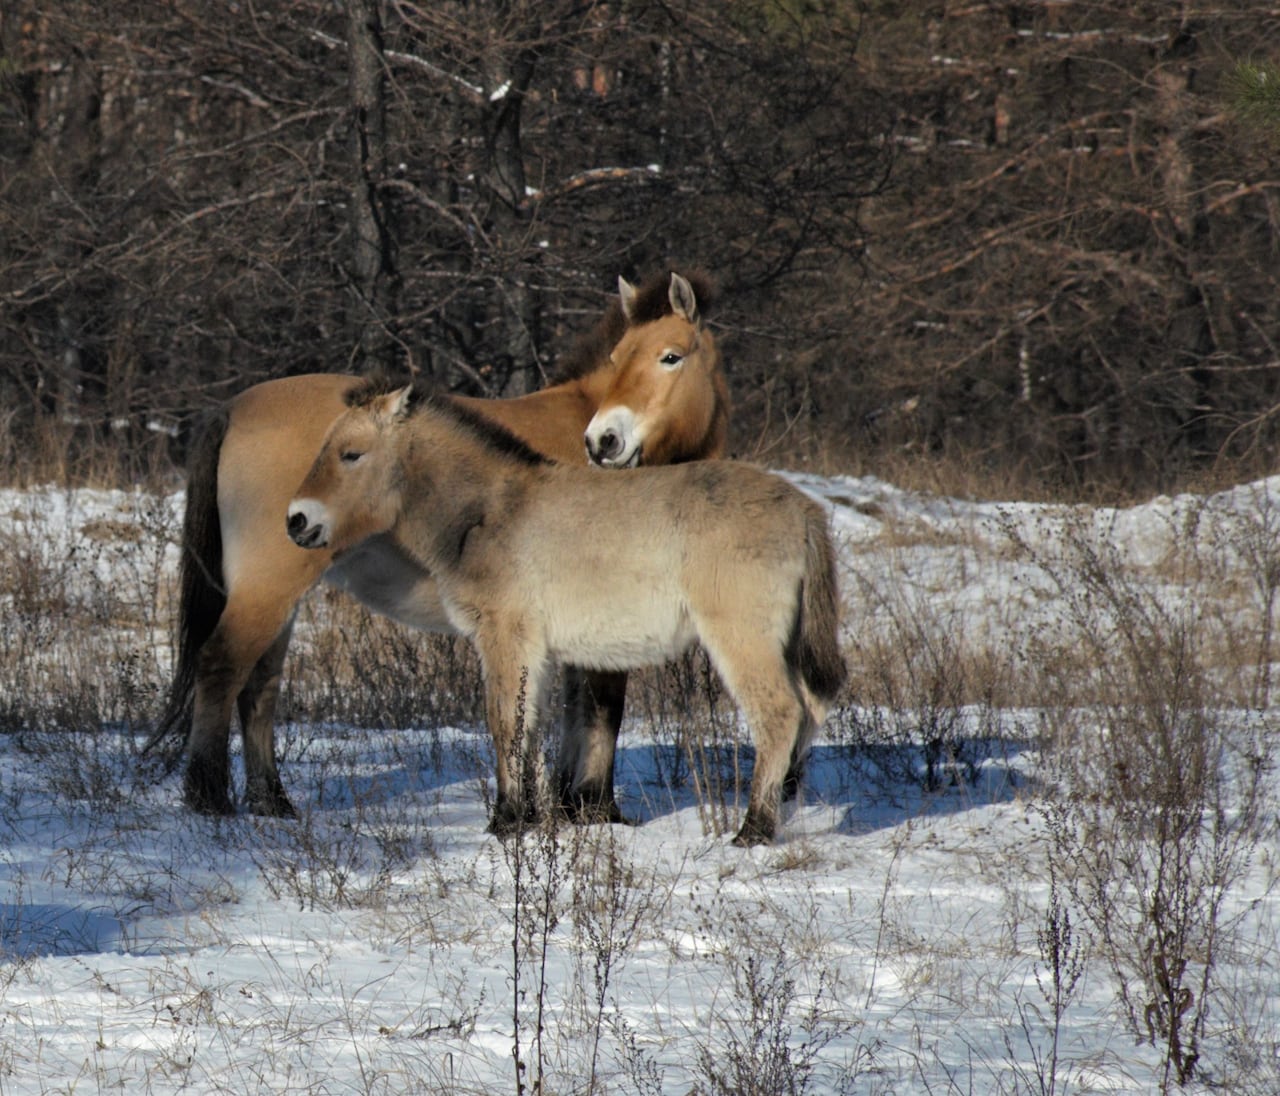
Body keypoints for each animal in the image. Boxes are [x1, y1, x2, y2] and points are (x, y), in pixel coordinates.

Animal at [148, 271, 730, 820]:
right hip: (267, 588)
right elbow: (601, 707)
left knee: (259, 685)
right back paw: (210, 797)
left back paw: (272, 802)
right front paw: (593, 808)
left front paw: (567, 808)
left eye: (670, 356)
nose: (604, 442)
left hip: (279, 596)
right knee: (221, 667)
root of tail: (232, 407)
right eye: (618, 358)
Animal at [286, 381, 847, 846]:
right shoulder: (537, 651)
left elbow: (505, 725)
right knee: (810, 710)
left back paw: (755, 828)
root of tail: (803, 509)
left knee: (780, 714)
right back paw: (785, 805)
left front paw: (506, 822)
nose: (296, 520)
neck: (490, 512)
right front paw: (531, 818)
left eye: (351, 454)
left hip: (743, 642)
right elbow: (533, 727)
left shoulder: (505, 637)